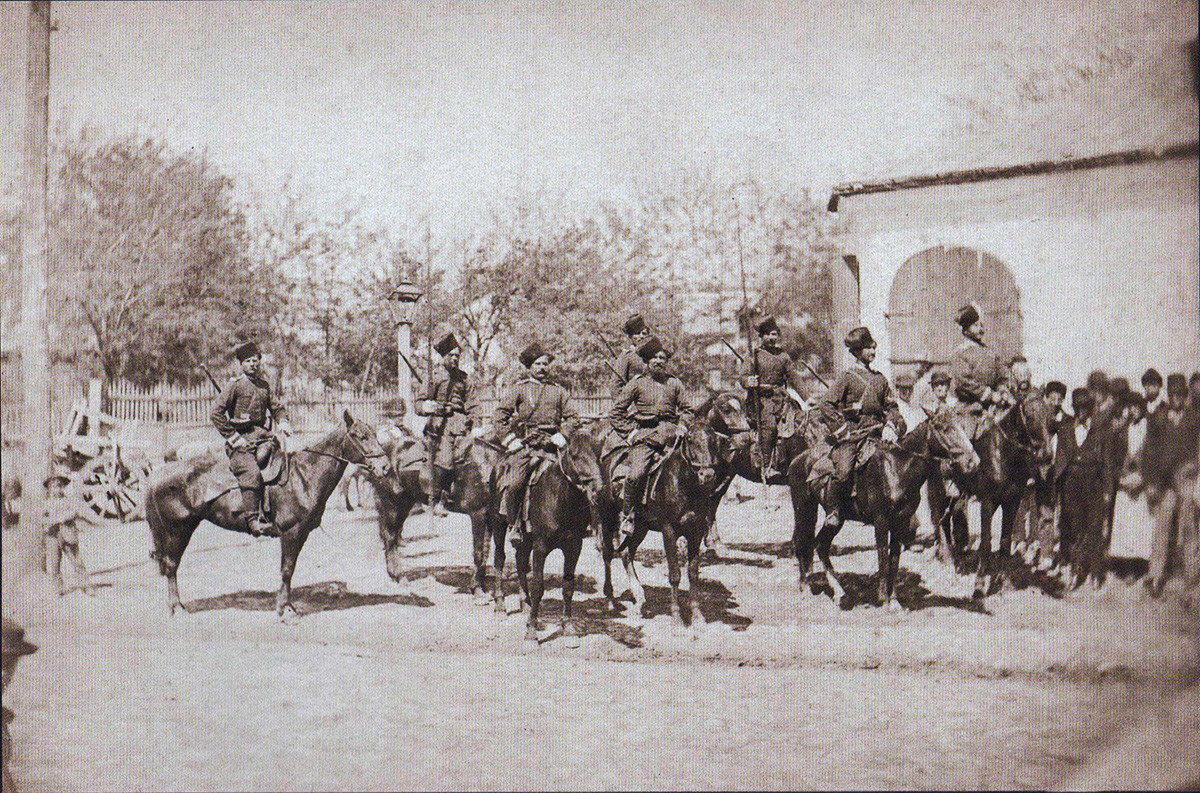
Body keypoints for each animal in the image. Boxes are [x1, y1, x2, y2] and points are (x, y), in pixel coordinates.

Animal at [143, 410, 388, 623]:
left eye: (374, 434)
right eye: (360, 436)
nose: (384, 467)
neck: (303, 476)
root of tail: (158, 473)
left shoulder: (301, 535)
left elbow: (289, 571)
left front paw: (286, 606)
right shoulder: (290, 533)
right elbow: (286, 570)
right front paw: (285, 610)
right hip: (177, 530)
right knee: (171, 565)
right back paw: (177, 608)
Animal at [595, 410, 715, 623]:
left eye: (713, 439)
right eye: (690, 439)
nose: (707, 475)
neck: (683, 484)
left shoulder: (696, 532)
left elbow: (693, 574)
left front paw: (697, 616)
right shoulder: (669, 531)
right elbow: (675, 574)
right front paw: (676, 618)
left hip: (640, 527)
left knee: (627, 554)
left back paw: (639, 596)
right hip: (607, 518)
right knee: (608, 554)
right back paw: (610, 600)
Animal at [792, 407, 979, 611]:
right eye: (944, 428)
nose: (973, 461)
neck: (897, 468)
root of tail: (798, 460)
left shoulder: (900, 523)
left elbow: (894, 561)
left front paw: (894, 600)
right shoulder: (881, 522)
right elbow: (882, 557)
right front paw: (883, 599)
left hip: (836, 519)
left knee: (820, 545)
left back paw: (838, 591)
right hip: (804, 510)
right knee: (802, 543)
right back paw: (805, 587)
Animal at [931, 393, 1056, 597]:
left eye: (1051, 417)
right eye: (1029, 416)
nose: (1046, 455)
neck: (1003, 453)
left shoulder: (1012, 501)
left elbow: (1005, 542)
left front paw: (1003, 582)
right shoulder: (987, 501)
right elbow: (986, 542)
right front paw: (980, 585)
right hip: (939, 489)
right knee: (940, 520)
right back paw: (947, 557)